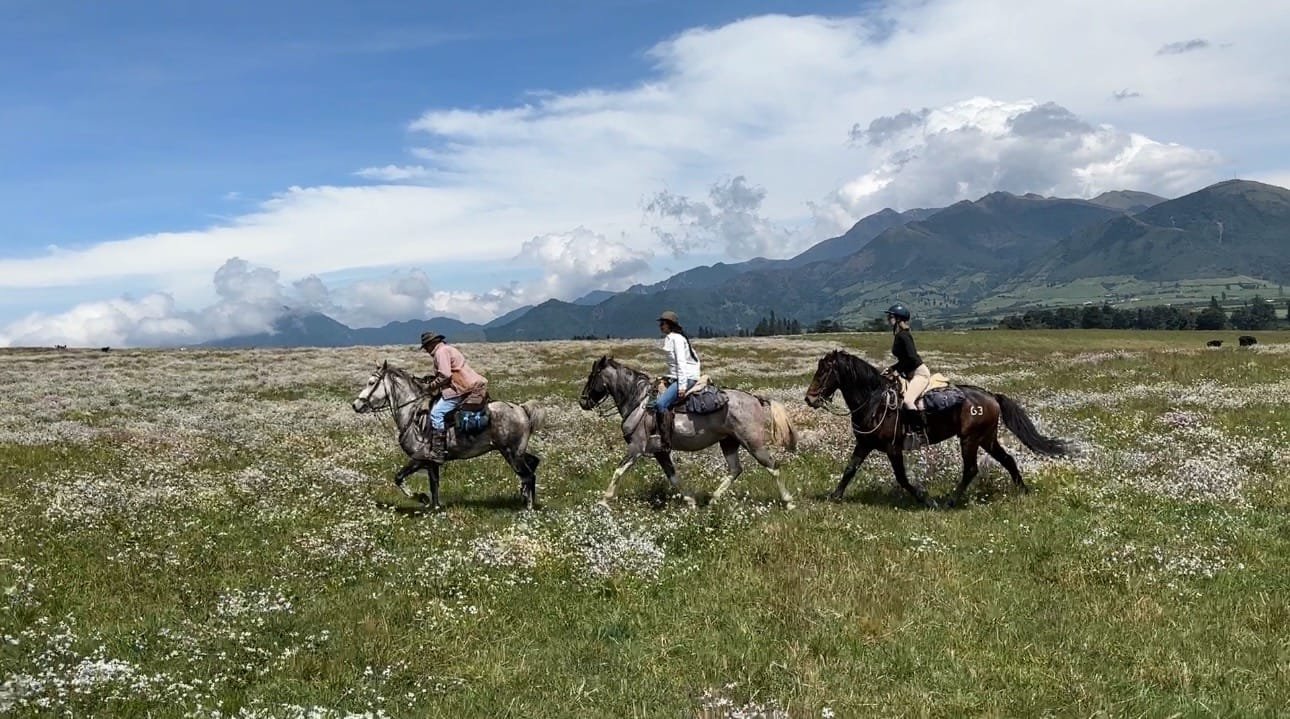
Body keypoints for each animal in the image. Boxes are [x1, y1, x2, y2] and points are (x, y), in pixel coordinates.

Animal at [356, 358, 546, 511]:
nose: (356, 405)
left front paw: (422, 498)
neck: (413, 414)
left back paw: (528, 508)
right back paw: (525, 497)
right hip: (516, 452)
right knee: (532, 464)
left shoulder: (420, 458)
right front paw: (434, 508)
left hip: (511, 453)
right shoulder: (432, 463)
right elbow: (434, 484)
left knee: (528, 475)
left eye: (371, 382)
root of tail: (522, 409)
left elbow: (399, 478)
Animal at [583, 356, 799, 508]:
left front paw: (604, 501)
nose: (583, 401)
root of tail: (756, 399)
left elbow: (618, 471)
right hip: (729, 442)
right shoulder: (660, 452)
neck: (638, 402)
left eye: (592, 377)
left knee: (772, 466)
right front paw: (691, 501)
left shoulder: (636, 448)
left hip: (752, 442)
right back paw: (713, 499)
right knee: (735, 470)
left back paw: (789, 502)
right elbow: (673, 477)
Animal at [804, 348, 1068, 508]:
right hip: (986, 438)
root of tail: (991, 396)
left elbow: (902, 478)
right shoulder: (864, 443)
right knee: (1008, 460)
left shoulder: (893, 448)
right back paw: (1023, 490)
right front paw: (834, 496)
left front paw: (925, 500)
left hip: (970, 439)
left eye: (824, 372)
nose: (809, 399)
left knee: (971, 469)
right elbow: (850, 469)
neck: (874, 401)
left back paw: (951, 501)